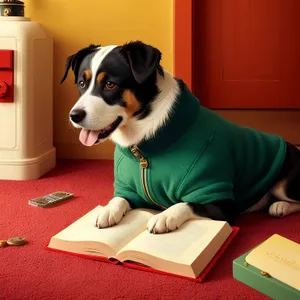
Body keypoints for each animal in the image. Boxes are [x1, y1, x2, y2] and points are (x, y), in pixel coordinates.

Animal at [60, 40, 300, 234]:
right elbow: (119, 199)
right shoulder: (130, 190)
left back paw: (280, 206)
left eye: (110, 84)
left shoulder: (218, 199)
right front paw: (108, 210)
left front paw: (164, 217)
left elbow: (186, 204)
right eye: (82, 83)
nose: (74, 115)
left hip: (285, 181)